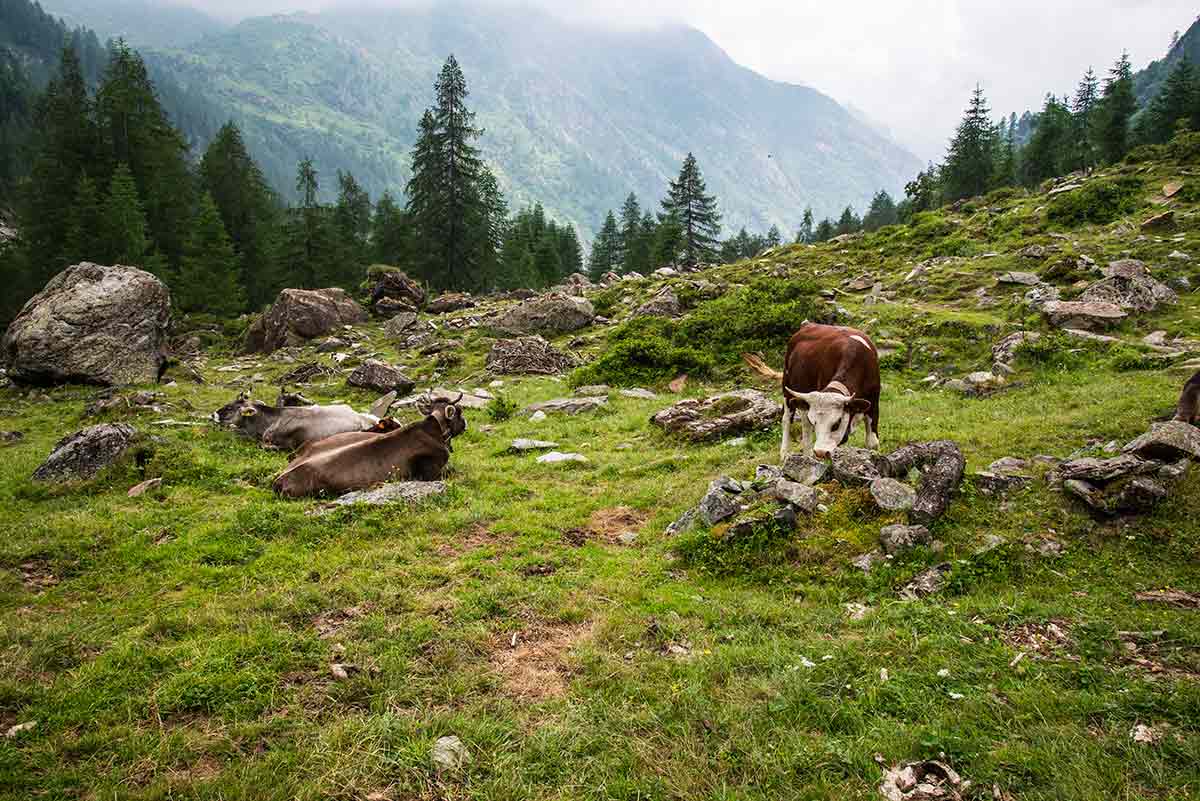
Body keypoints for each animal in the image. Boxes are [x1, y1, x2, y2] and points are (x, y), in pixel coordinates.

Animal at [739, 321, 883, 460]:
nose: (820, 452)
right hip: (787, 389)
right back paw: (787, 454)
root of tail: (807, 325)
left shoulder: (874, 402)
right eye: (815, 423)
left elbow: (872, 443)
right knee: (789, 421)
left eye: (836, 424)